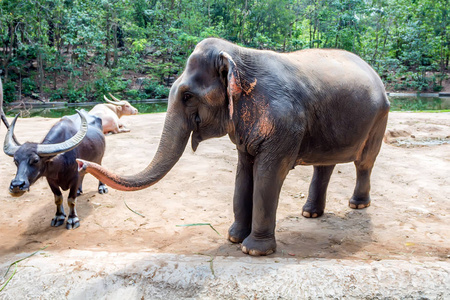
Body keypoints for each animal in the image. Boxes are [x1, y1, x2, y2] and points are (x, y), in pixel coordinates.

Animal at [77, 37, 390, 253]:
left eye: (188, 96)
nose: (79, 163)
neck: (240, 55)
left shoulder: (283, 122)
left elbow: (267, 175)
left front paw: (253, 250)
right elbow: (243, 174)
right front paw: (233, 238)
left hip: (379, 119)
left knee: (364, 162)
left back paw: (357, 205)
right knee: (324, 165)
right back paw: (310, 213)